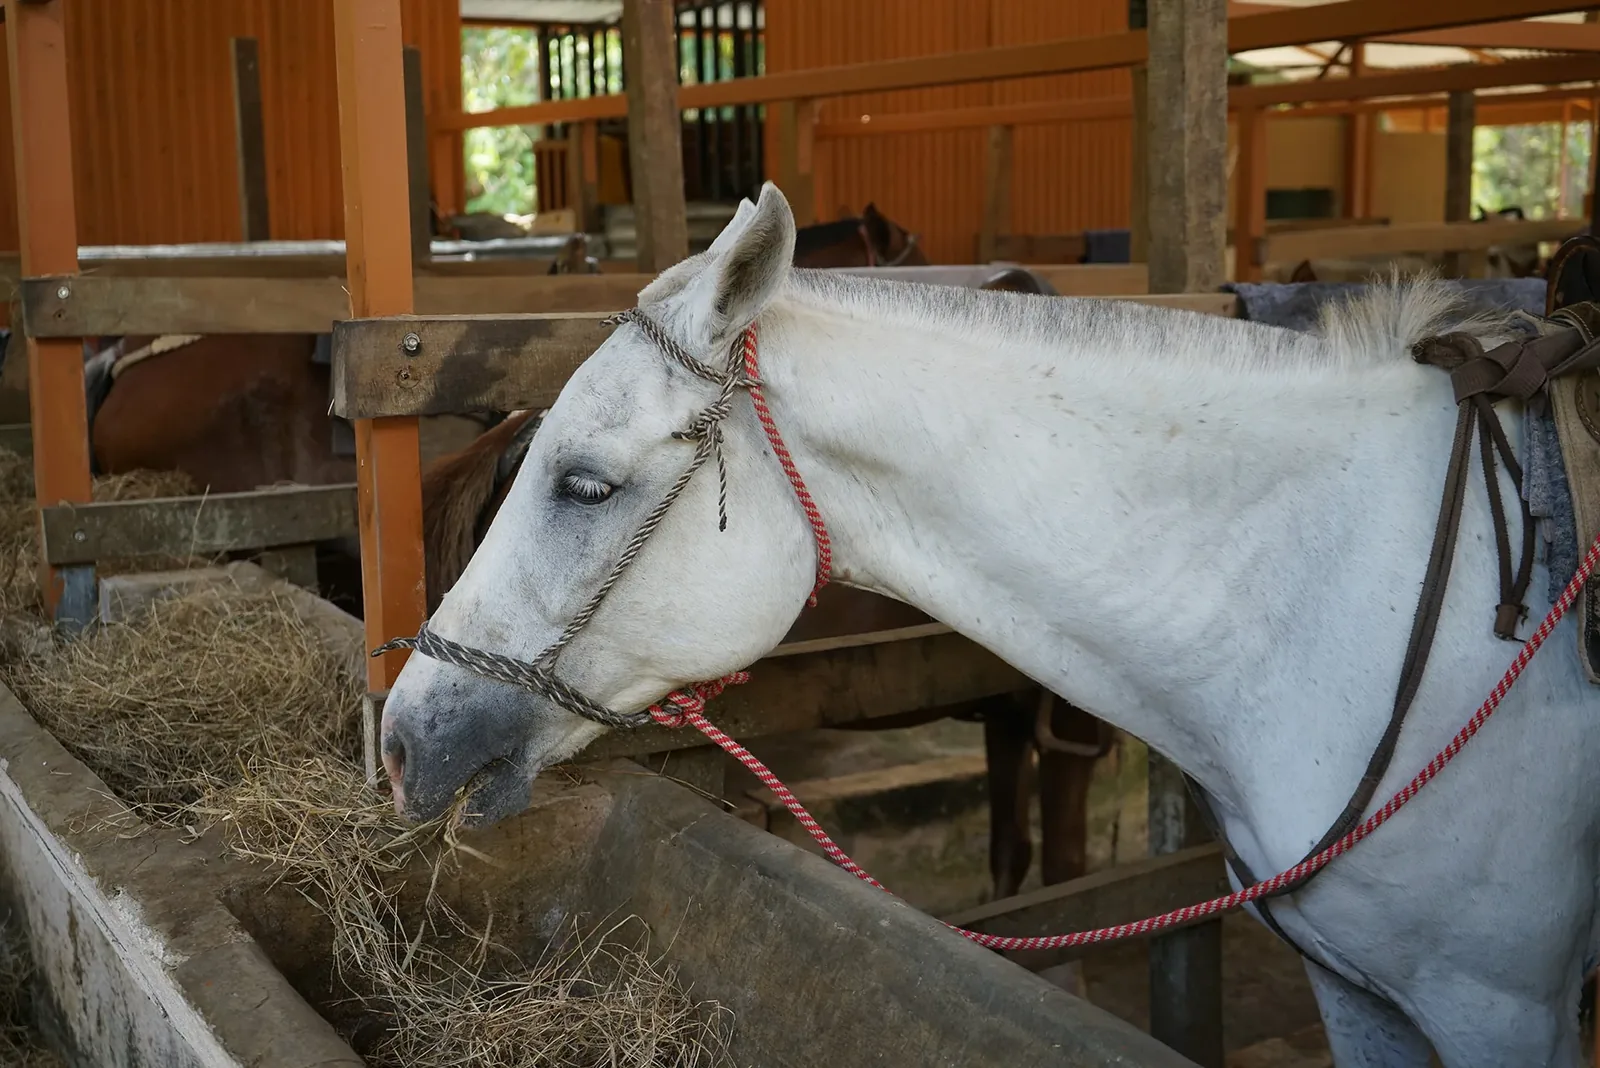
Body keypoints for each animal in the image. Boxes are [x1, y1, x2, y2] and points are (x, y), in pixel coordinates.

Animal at [378, 182, 1600, 1066]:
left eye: (585, 484)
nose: (398, 740)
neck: (1340, 587)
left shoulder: (1492, 1003)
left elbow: (1041, 849)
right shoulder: (1361, 991)